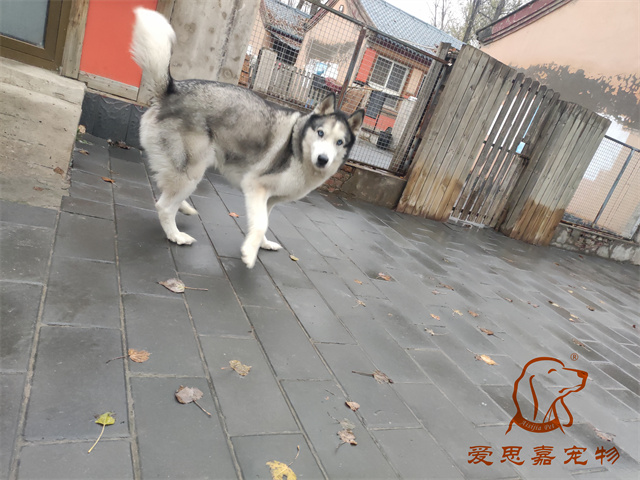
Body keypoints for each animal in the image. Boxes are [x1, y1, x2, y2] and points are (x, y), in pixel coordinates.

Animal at [131, 8, 364, 268]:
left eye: (339, 142)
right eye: (321, 133)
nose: (323, 159)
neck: (298, 148)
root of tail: (171, 89)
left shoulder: (268, 199)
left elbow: (263, 223)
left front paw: (262, 244)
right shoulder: (255, 186)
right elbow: (261, 223)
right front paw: (249, 254)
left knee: (165, 188)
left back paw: (185, 208)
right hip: (192, 170)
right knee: (163, 205)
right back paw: (176, 235)